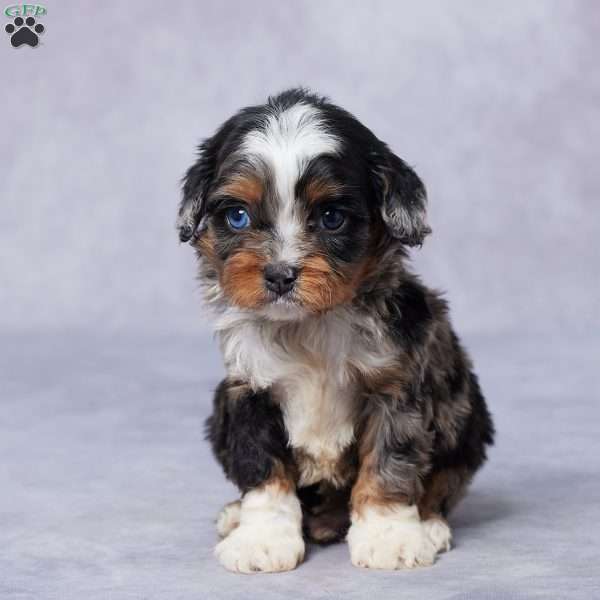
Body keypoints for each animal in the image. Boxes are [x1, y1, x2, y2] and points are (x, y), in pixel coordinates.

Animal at [177, 88, 492, 572]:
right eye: (237, 217)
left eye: (331, 218)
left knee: (444, 482)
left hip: (466, 412)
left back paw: (430, 526)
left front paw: (389, 536)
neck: (310, 324)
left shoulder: (397, 385)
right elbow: (262, 468)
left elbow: (391, 460)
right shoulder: (248, 391)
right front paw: (262, 539)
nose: (280, 275)